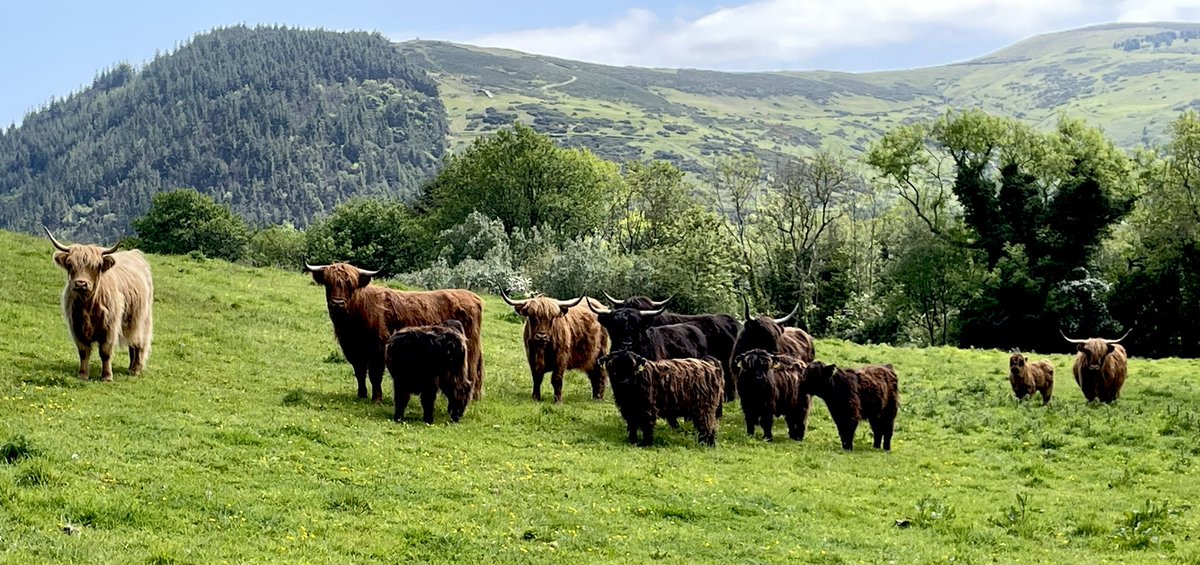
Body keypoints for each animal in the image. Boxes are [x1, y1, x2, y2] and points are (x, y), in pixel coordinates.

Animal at [44, 227, 153, 381]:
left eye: (96, 266)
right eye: (70, 264)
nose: (81, 284)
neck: (88, 306)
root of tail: (135, 253)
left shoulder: (110, 327)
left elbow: (105, 352)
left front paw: (107, 377)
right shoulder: (76, 326)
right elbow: (83, 351)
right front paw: (83, 375)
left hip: (141, 319)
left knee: (139, 342)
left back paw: (135, 369)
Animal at [307, 263, 484, 403]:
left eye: (350, 285)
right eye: (328, 283)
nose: (337, 303)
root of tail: (473, 297)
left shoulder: (378, 349)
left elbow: (375, 374)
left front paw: (376, 399)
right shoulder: (353, 350)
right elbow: (360, 373)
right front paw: (361, 395)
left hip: (469, 351)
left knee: (472, 373)